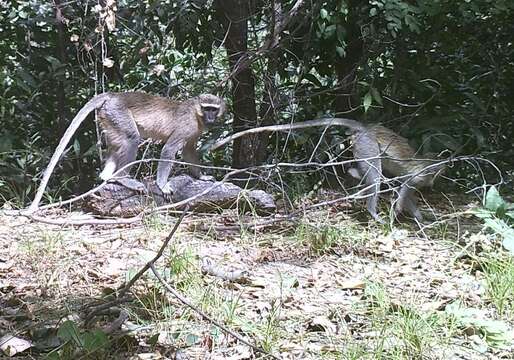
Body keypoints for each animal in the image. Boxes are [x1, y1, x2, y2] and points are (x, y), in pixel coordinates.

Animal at [28, 91, 224, 212]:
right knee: (131, 138)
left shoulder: (193, 132)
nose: (210, 117)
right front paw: (162, 185)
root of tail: (115, 95)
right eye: (207, 108)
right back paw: (122, 178)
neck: (196, 113)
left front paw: (201, 176)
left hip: (108, 118)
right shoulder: (186, 125)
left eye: (214, 109)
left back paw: (107, 177)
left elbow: (189, 150)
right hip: (117, 114)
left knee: (117, 145)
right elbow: (169, 150)